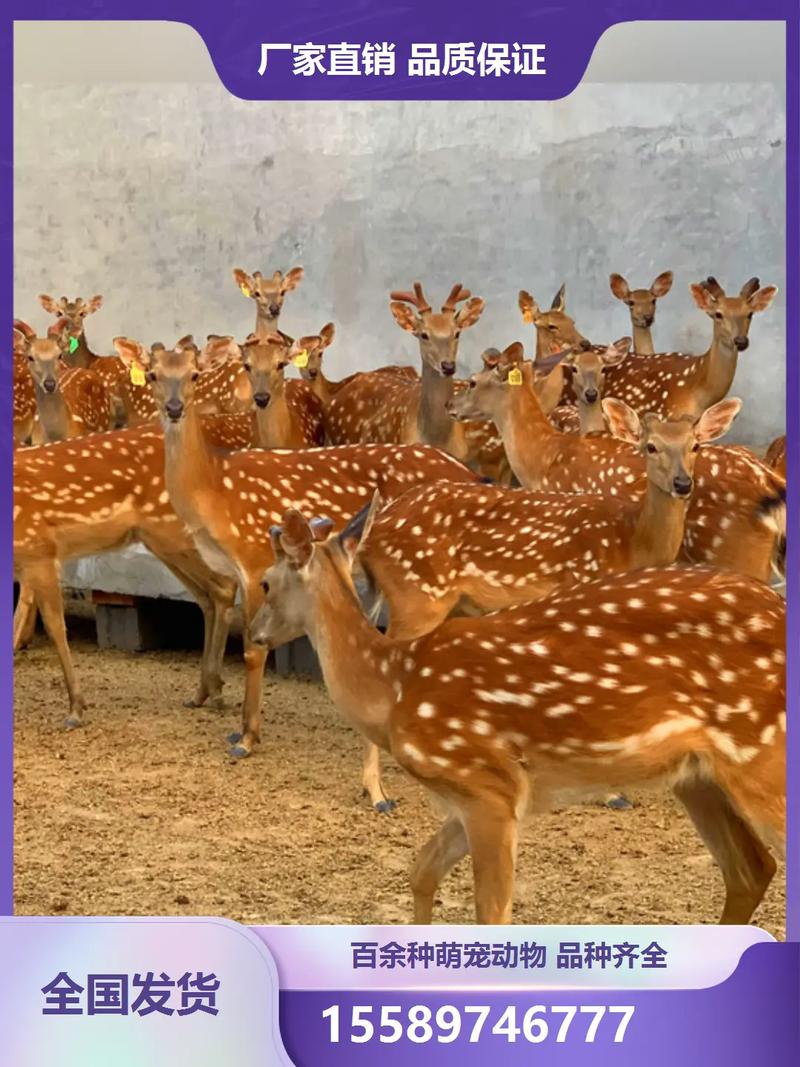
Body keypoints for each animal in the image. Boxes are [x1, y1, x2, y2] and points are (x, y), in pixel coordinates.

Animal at [122, 332, 480, 768]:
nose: (174, 409)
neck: (215, 493)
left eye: (194, 374)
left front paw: (246, 737)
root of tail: (469, 473)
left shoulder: (255, 556)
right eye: (152, 375)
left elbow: (253, 648)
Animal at [250, 503, 785, 925]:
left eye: (266, 583)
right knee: (751, 869)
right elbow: (421, 870)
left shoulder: (488, 783)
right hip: (697, 776)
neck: (392, 686)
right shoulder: (475, 795)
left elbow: (492, 913)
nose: (254, 634)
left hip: (762, 756)